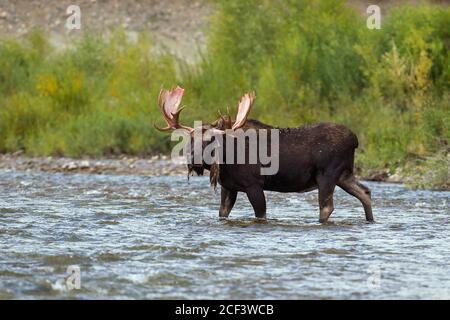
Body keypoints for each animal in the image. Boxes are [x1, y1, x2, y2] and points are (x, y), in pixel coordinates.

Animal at [156, 86, 374, 224]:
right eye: (191, 139)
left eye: (210, 140)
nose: (194, 160)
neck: (226, 160)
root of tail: (355, 140)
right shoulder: (229, 186)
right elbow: (222, 213)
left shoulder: (254, 185)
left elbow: (261, 215)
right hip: (344, 175)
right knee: (365, 192)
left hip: (327, 175)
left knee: (327, 206)